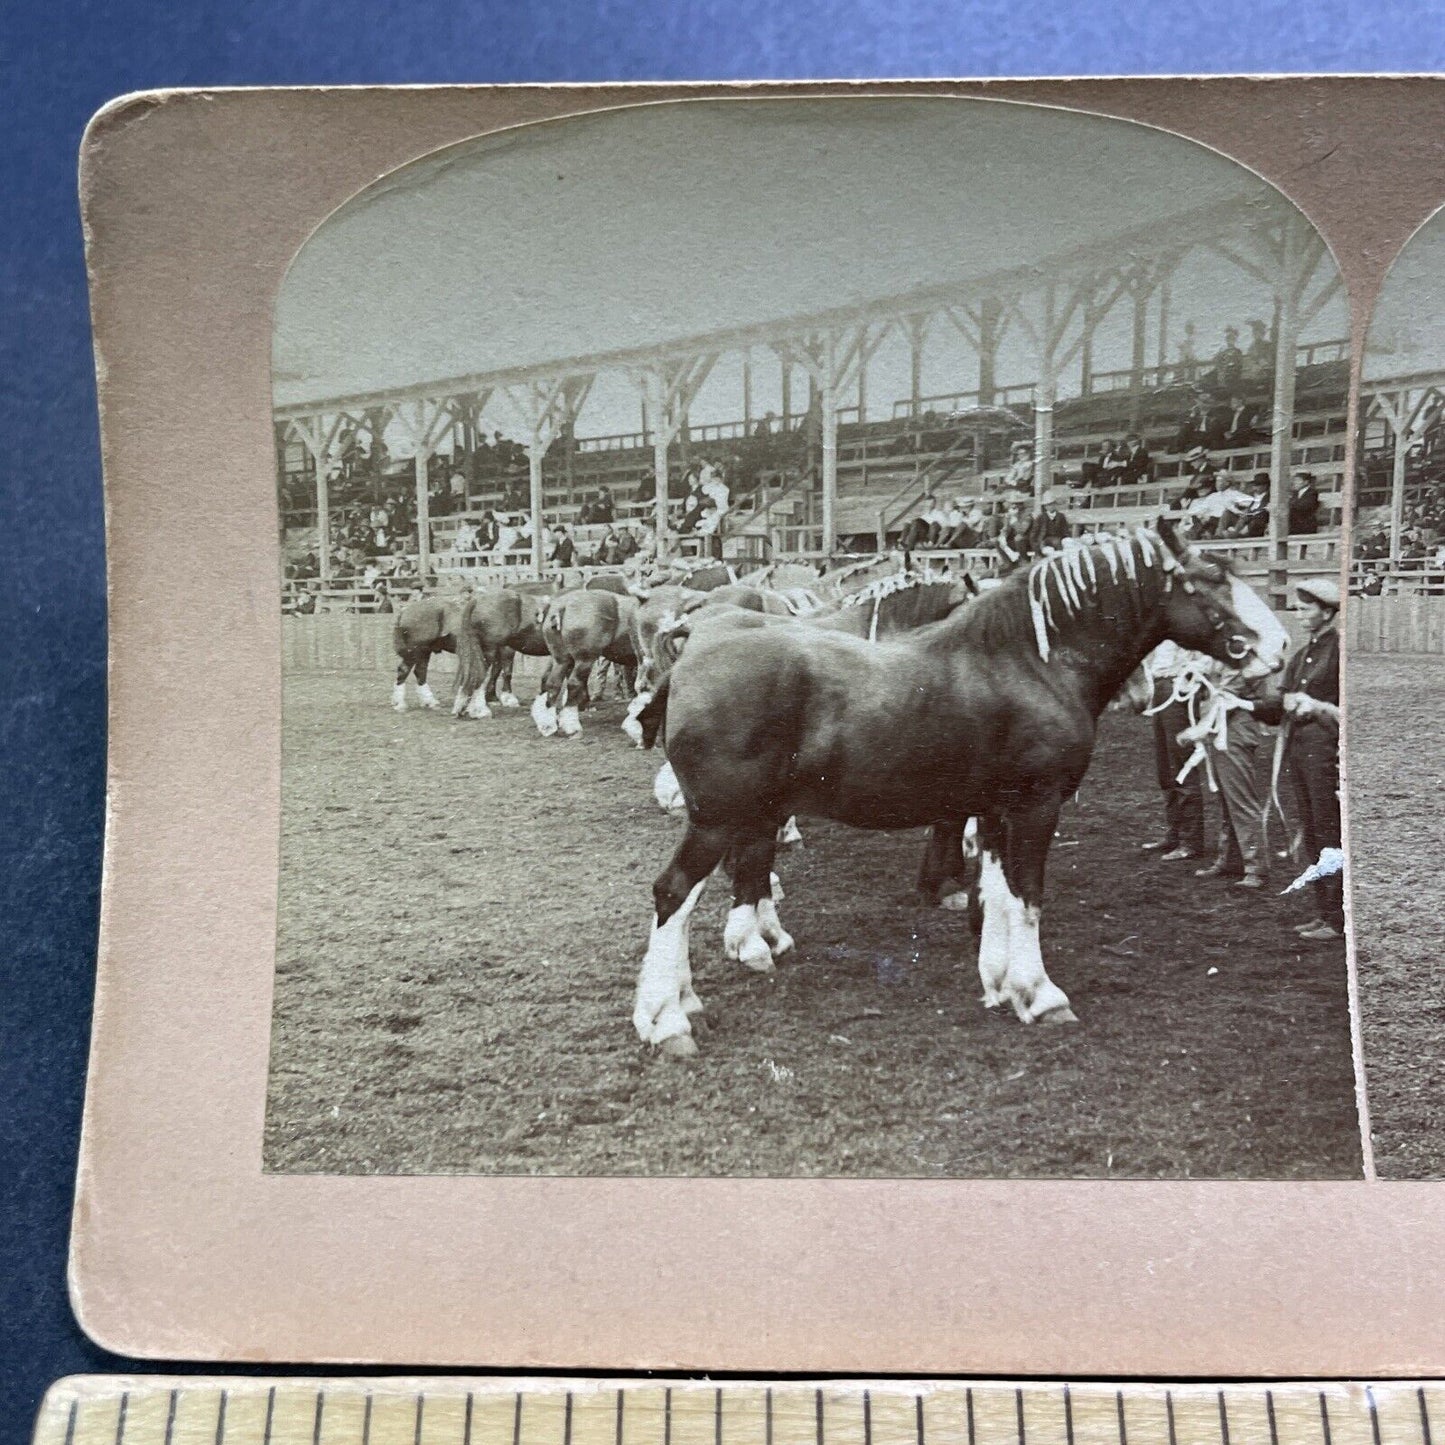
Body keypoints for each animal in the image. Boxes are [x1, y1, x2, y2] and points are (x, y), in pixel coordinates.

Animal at [632, 525, 1288, 1057]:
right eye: (1211, 581)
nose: (1280, 647)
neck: (1030, 663)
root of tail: (691, 652)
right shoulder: (1035, 807)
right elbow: (1028, 898)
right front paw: (1041, 994)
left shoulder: (995, 809)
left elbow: (997, 893)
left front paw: (1000, 983)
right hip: (718, 816)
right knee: (674, 893)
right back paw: (667, 1022)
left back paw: (695, 994)